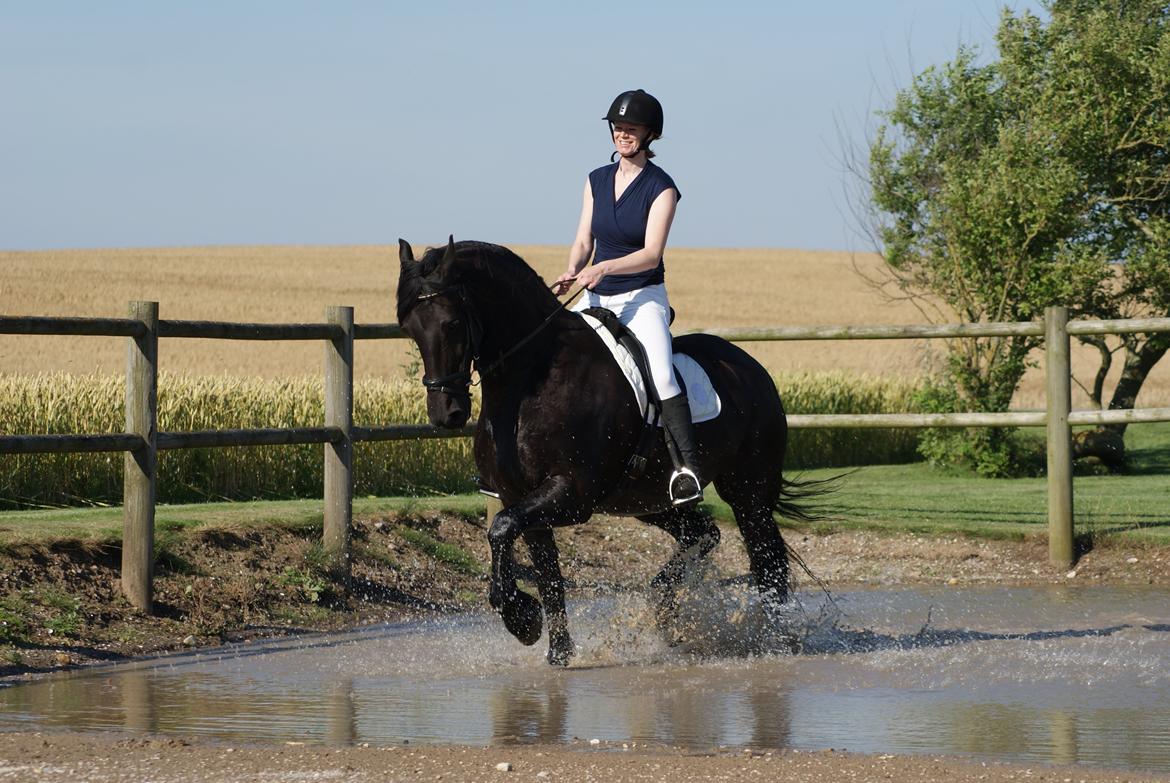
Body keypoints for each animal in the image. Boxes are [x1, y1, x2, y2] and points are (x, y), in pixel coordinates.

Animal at [397, 238, 819, 664]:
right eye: (409, 329)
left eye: (451, 323)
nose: (446, 413)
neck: (530, 380)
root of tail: (751, 367)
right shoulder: (521, 498)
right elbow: (544, 573)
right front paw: (556, 651)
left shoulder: (571, 495)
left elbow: (500, 529)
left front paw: (522, 619)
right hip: (649, 501)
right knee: (704, 533)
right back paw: (665, 609)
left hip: (748, 493)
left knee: (767, 560)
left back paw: (774, 640)